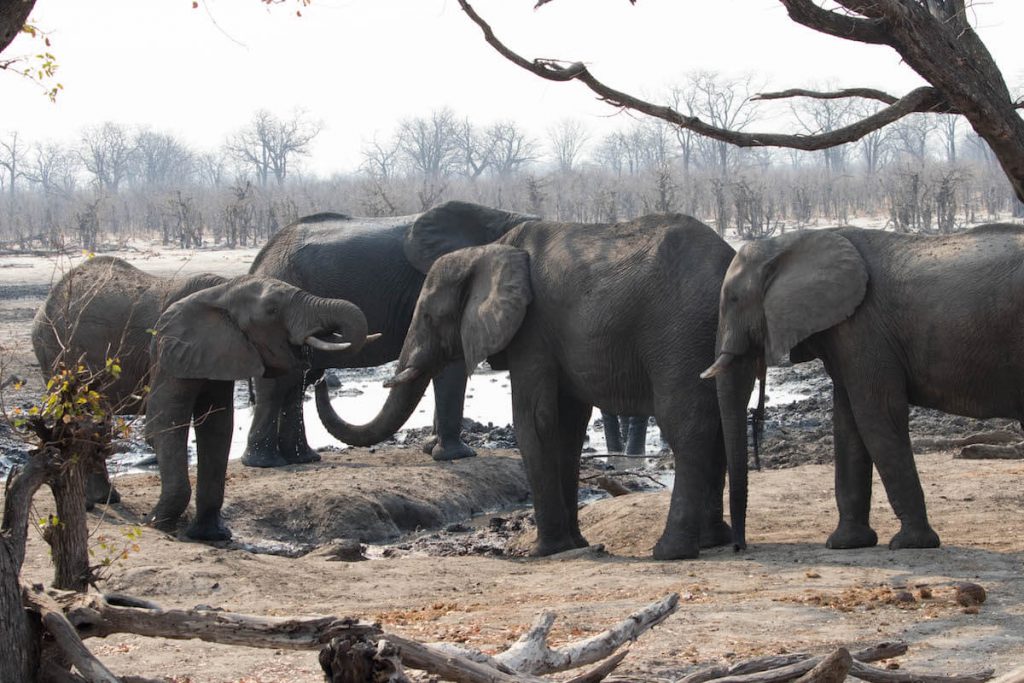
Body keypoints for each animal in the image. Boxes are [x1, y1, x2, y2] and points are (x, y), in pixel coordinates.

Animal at [33, 255, 372, 540]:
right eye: (272, 311)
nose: (321, 375)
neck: (222, 292)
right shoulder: (167, 349)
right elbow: (165, 423)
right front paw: (157, 523)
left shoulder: (220, 352)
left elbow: (218, 427)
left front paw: (211, 535)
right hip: (53, 355)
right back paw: (94, 503)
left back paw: (105, 499)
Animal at [243, 200, 532, 471]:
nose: (323, 383)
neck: (504, 217)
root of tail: (258, 263)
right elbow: (450, 365)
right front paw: (457, 456)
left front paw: (432, 448)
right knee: (279, 383)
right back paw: (266, 463)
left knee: (296, 381)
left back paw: (302, 458)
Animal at [311, 214, 737, 561]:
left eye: (429, 316)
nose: (318, 380)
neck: (487, 250)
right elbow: (566, 425)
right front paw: (574, 545)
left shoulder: (532, 328)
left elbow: (535, 418)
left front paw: (544, 551)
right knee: (718, 421)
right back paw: (713, 541)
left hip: (678, 333)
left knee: (686, 425)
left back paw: (671, 551)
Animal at [704, 224, 1024, 557]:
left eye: (733, 299)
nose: (739, 547)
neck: (787, 243)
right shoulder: (845, 333)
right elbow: (847, 422)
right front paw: (845, 543)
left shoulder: (863, 329)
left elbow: (875, 415)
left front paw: (910, 544)